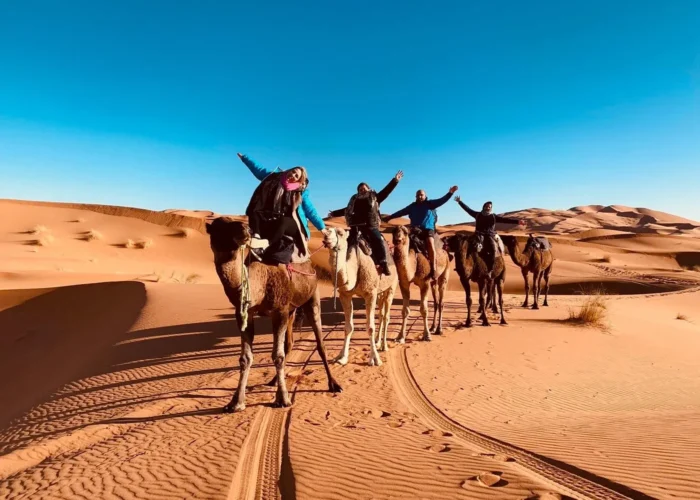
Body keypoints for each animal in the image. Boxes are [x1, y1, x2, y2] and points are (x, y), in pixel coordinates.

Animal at [206, 217, 341, 413]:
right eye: (218, 227)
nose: (245, 229)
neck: (259, 282)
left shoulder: (279, 311)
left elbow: (278, 355)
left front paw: (283, 399)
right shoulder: (245, 313)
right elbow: (246, 358)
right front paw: (235, 402)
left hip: (311, 298)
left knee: (320, 344)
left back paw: (333, 384)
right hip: (291, 311)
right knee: (290, 343)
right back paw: (273, 381)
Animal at [323, 227, 398, 366]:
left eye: (340, 233)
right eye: (324, 231)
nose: (326, 236)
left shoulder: (370, 293)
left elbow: (370, 327)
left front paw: (375, 359)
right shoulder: (345, 294)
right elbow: (348, 327)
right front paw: (342, 357)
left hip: (392, 287)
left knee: (386, 316)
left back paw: (384, 346)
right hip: (380, 293)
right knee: (381, 314)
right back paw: (378, 342)